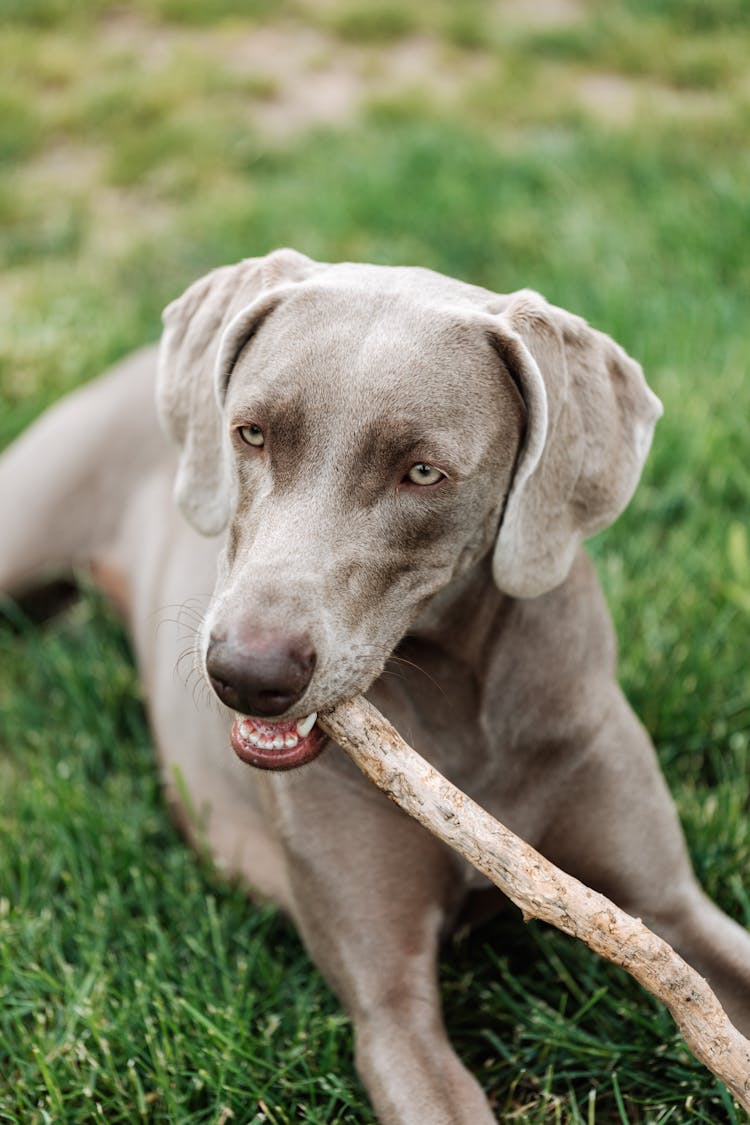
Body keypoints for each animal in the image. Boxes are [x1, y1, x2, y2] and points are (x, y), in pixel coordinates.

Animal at [1, 250, 750, 1120]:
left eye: (422, 471)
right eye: (251, 432)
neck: (459, 713)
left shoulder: (671, 907)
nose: (246, 673)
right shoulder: (390, 1008)